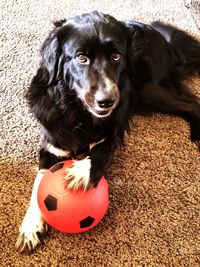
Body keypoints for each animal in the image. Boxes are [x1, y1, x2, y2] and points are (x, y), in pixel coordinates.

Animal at [16, 10, 200, 253]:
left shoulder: (114, 132)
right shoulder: (52, 144)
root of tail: (165, 41)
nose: (107, 101)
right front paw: (30, 225)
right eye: (81, 58)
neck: (78, 112)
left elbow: (100, 154)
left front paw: (83, 171)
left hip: (148, 89)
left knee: (193, 103)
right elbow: (40, 180)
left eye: (115, 56)